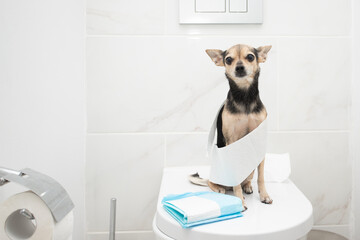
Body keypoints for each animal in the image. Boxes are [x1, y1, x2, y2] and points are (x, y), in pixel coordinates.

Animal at [190, 44, 272, 209]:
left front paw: (264, 195)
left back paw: (247, 186)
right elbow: (236, 183)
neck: (245, 97)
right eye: (228, 60)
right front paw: (239, 201)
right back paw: (220, 188)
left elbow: (261, 176)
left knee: (246, 179)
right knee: (211, 182)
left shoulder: (259, 141)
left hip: (250, 170)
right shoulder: (232, 141)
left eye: (250, 57)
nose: (239, 67)